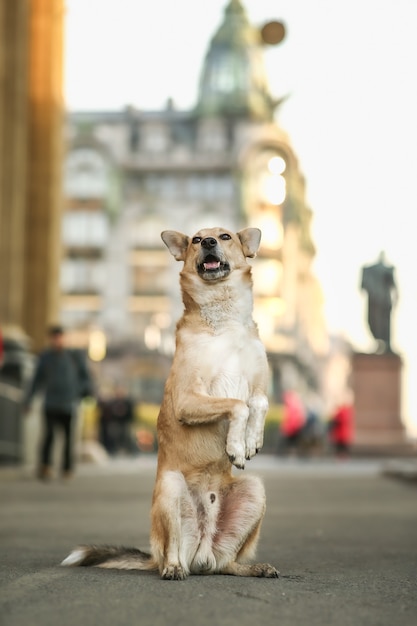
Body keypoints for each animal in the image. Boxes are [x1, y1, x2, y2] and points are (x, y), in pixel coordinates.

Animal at [61, 227, 276, 576]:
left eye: (225, 236)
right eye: (196, 239)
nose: (208, 242)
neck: (224, 320)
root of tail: (201, 552)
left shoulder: (258, 385)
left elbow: (257, 404)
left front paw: (251, 441)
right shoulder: (188, 400)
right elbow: (237, 404)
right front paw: (235, 446)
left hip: (254, 491)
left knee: (226, 563)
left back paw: (252, 569)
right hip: (170, 489)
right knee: (174, 550)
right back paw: (174, 569)